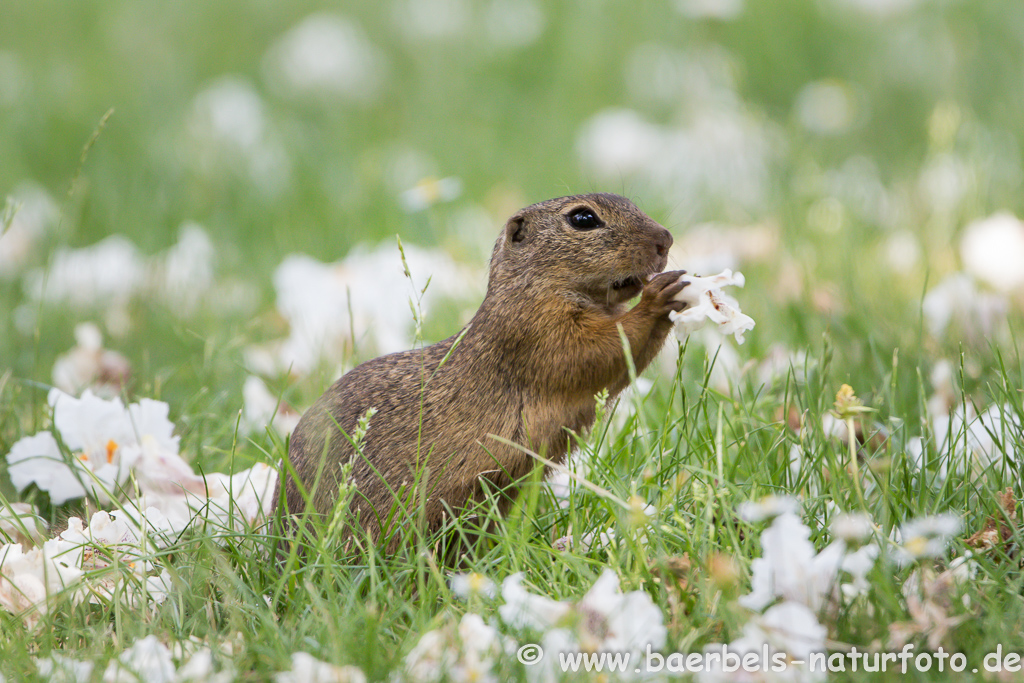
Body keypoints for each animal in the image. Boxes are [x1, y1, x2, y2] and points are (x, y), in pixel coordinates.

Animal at [278, 192, 688, 548]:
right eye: (583, 219)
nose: (665, 239)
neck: (528, 289)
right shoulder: (536, 333)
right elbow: (597, 350)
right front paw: (657, 298)